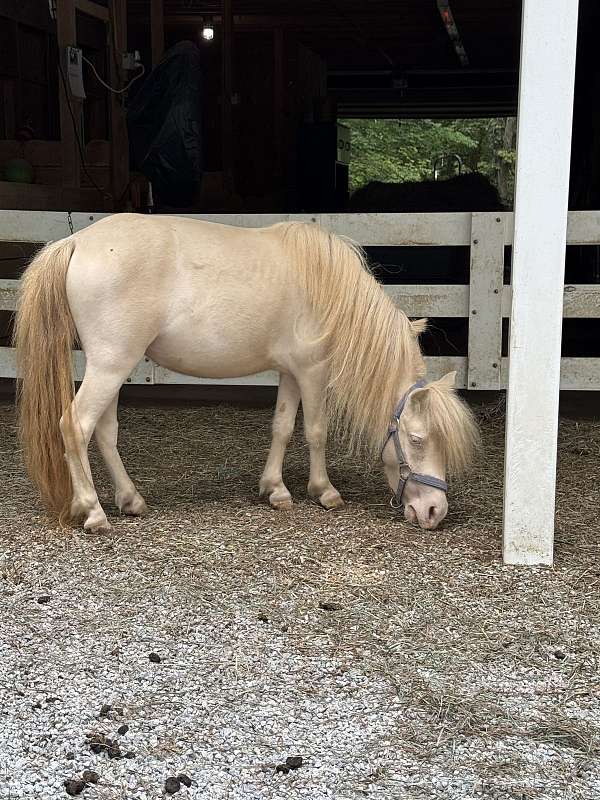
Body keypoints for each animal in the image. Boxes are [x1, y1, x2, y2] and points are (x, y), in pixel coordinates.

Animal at [14, 214, 478, 533]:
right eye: (417, 439)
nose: (434, 512)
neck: (329, 291)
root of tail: (75, 241)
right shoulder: (312, 371)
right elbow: (316, 431)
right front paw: (324, 491)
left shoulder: (290, 373)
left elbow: (282, 428)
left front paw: (275, 490)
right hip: (110, 365)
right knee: (75, 426)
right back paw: (92, 511)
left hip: (112, 367)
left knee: (105, 432)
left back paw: (130, 500)